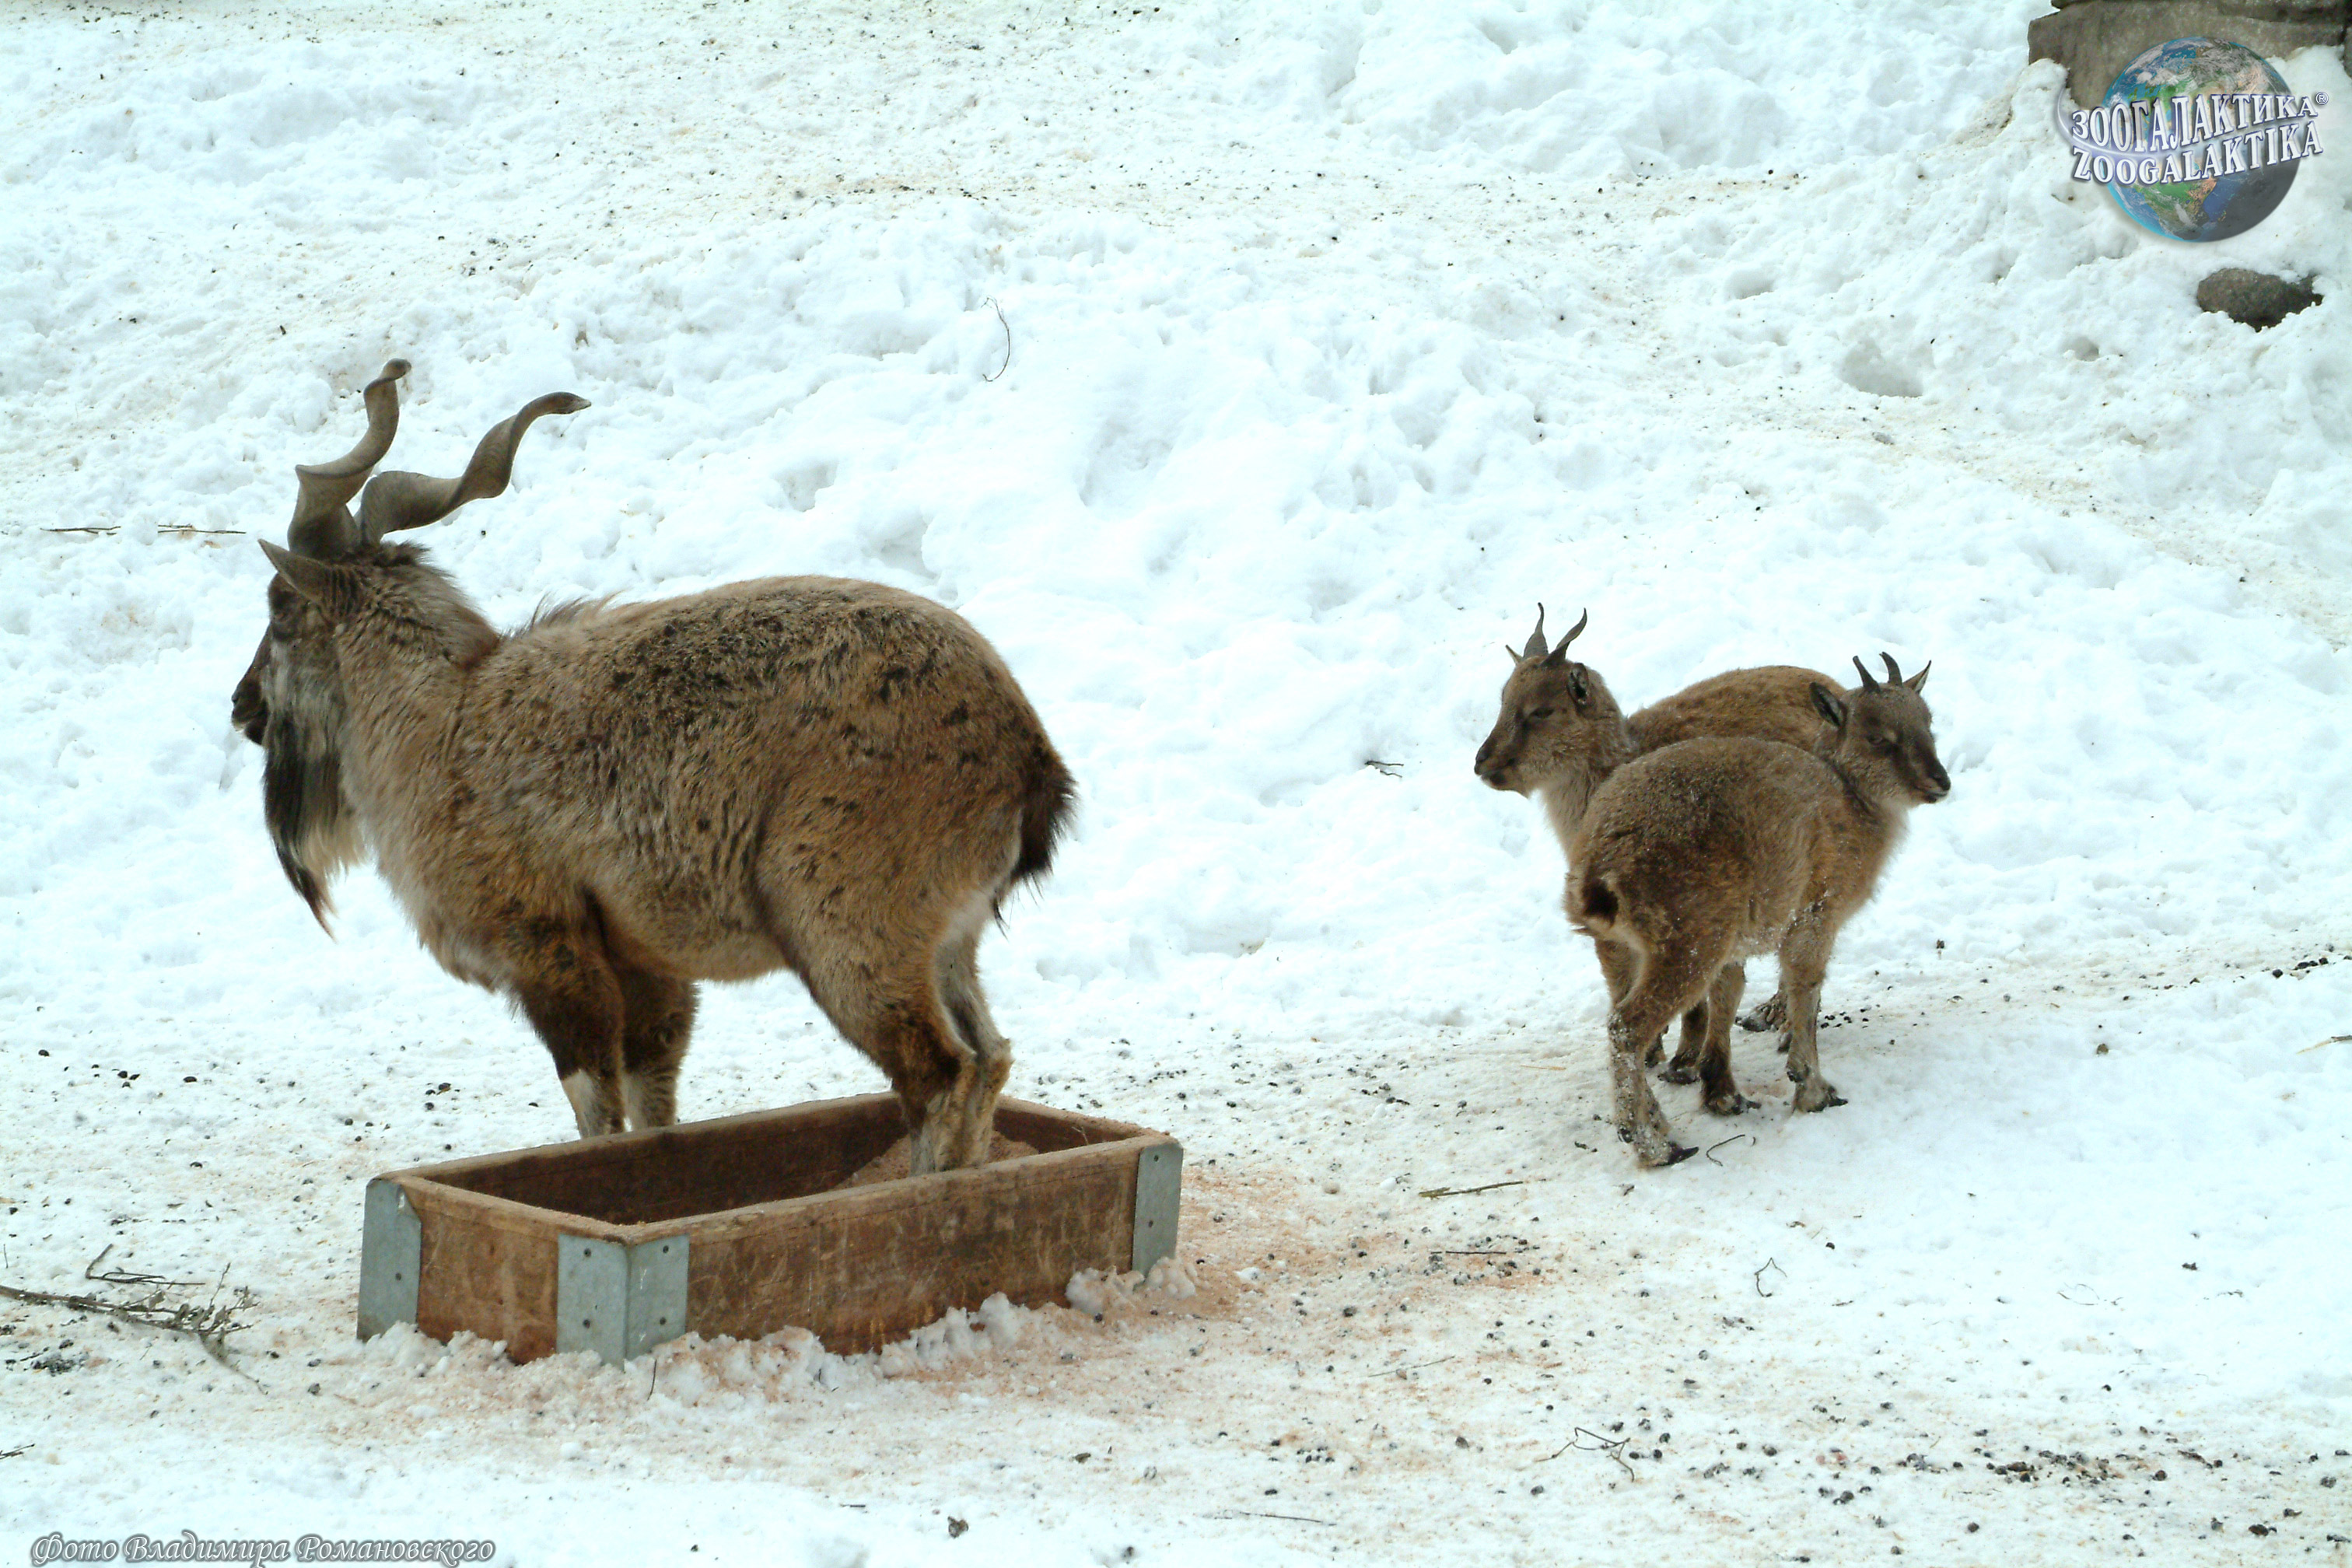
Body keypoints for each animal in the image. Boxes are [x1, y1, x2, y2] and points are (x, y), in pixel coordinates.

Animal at [228, 360, 1075, 1174]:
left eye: (280, 612)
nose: (243, 708)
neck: (441, 723)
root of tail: (1027, 756)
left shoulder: (551, 951)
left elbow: (598, 1114)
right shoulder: (648, 965)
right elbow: (656, 1109)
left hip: (850, 931)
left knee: (938, 1074)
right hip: (949, 942)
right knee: (990, 1059)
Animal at [1472, 606, 1846, 1087]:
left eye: (1541, 710)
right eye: (1503, 699)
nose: (1484, 762)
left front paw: (1681, 1056)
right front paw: (1661, 1052)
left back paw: (1779, 1019)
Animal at [1566, 657, 1949, 1165]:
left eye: (1928, 723)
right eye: (1877, 736)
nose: (1939, 783)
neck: (1851, 804)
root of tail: (1599, 866)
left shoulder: (1737, 944)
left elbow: (1731, 994)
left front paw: (1724, 1093)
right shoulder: (1815, 913)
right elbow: (1805, 986)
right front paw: (1813, 1088)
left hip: (1619, 947)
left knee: (1620, 1018)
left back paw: (1652, 1122)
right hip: (1687, 942)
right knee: (1627, 1027)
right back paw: (1655, 1145)